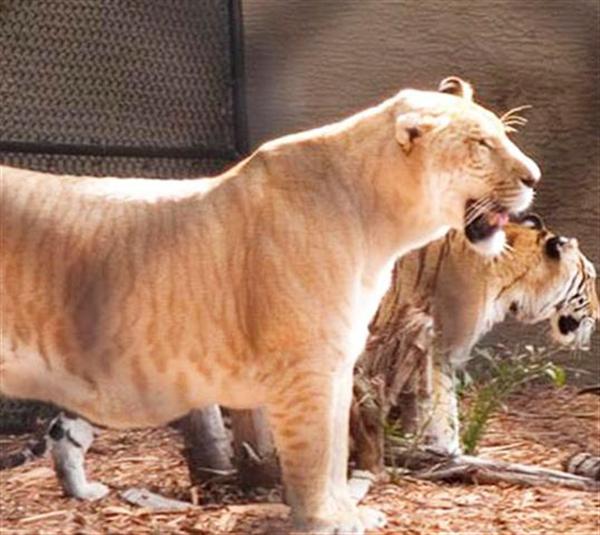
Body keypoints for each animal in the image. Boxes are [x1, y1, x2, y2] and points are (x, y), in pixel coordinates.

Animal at [0, 75, 540, 532]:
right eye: (481, 144)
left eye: (501, 134)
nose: (535, 177)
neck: (378, 224)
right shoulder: (306, 367)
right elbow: (316, 454)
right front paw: (324, 521)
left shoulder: (338, 363)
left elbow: (336, 451)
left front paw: (348, 514)